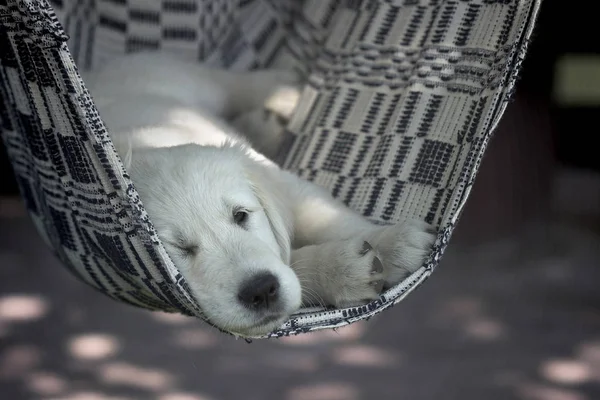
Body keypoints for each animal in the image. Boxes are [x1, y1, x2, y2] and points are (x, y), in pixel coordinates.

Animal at [84, 51, 434, 336]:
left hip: (183, 82)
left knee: (231, 83)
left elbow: (326, 216)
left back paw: (283, 89)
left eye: (241, 215)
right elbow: (293, 261)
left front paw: (394, 241)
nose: (261, 290)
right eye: (177, 250)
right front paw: (341, 267)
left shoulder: (289, 186)